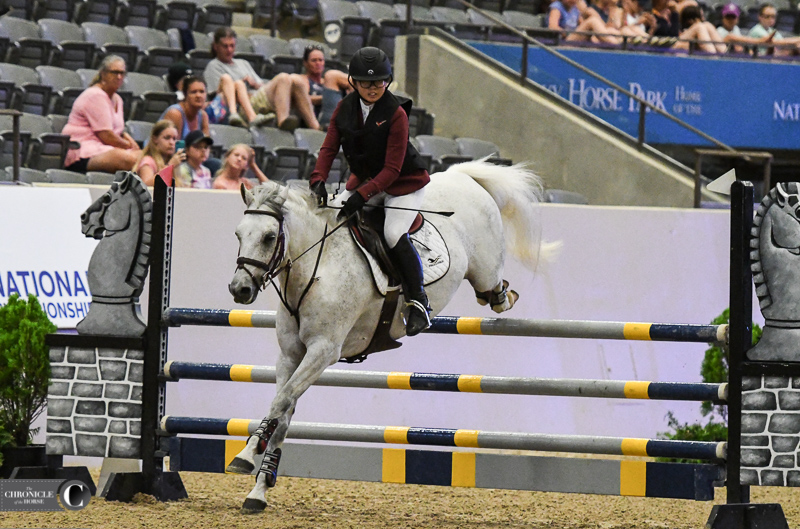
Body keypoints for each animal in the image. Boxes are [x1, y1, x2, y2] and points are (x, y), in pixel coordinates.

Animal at [227, 160, 552, 512]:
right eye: (238, 234)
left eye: (269, 237)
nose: (239, 290)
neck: (317, 266)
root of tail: (461, 175)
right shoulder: (291, 353)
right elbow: (282, 412)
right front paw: (259, 487)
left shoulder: (323, 350)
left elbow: (281, 401)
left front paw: (246, 455)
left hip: (484, 271)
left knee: (494, 291)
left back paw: (500, 297)